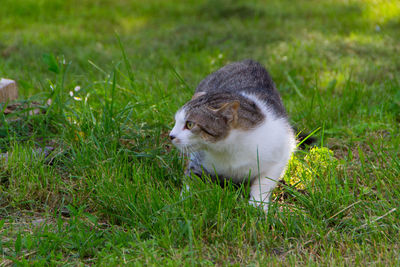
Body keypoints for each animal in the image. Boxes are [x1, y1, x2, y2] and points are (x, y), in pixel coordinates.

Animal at [169, 59, 296, 213]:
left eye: (189, 124)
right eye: (176, 121)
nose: (171, 135)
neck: (229, 148)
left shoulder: (280, 152)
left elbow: (264, 183)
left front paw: (257, 206)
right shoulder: (199, 160)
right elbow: (192, 177)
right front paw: (183, 202)